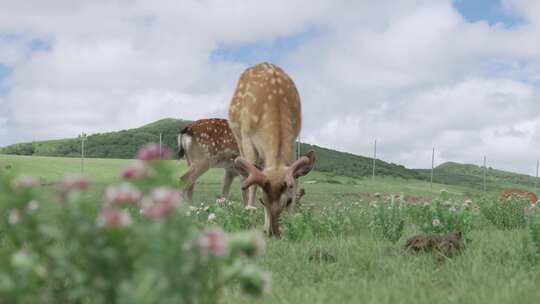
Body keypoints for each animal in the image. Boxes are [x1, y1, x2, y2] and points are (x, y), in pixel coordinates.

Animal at [229, 62, 316, 238]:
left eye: (289, 201)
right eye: (263, 201)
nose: (273, 233)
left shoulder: (294, 138)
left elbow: (296, 180)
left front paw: (292, 223)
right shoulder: (247, 138)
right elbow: (253, 183)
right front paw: (252, 216)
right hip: (238, 138)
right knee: (244, 175)